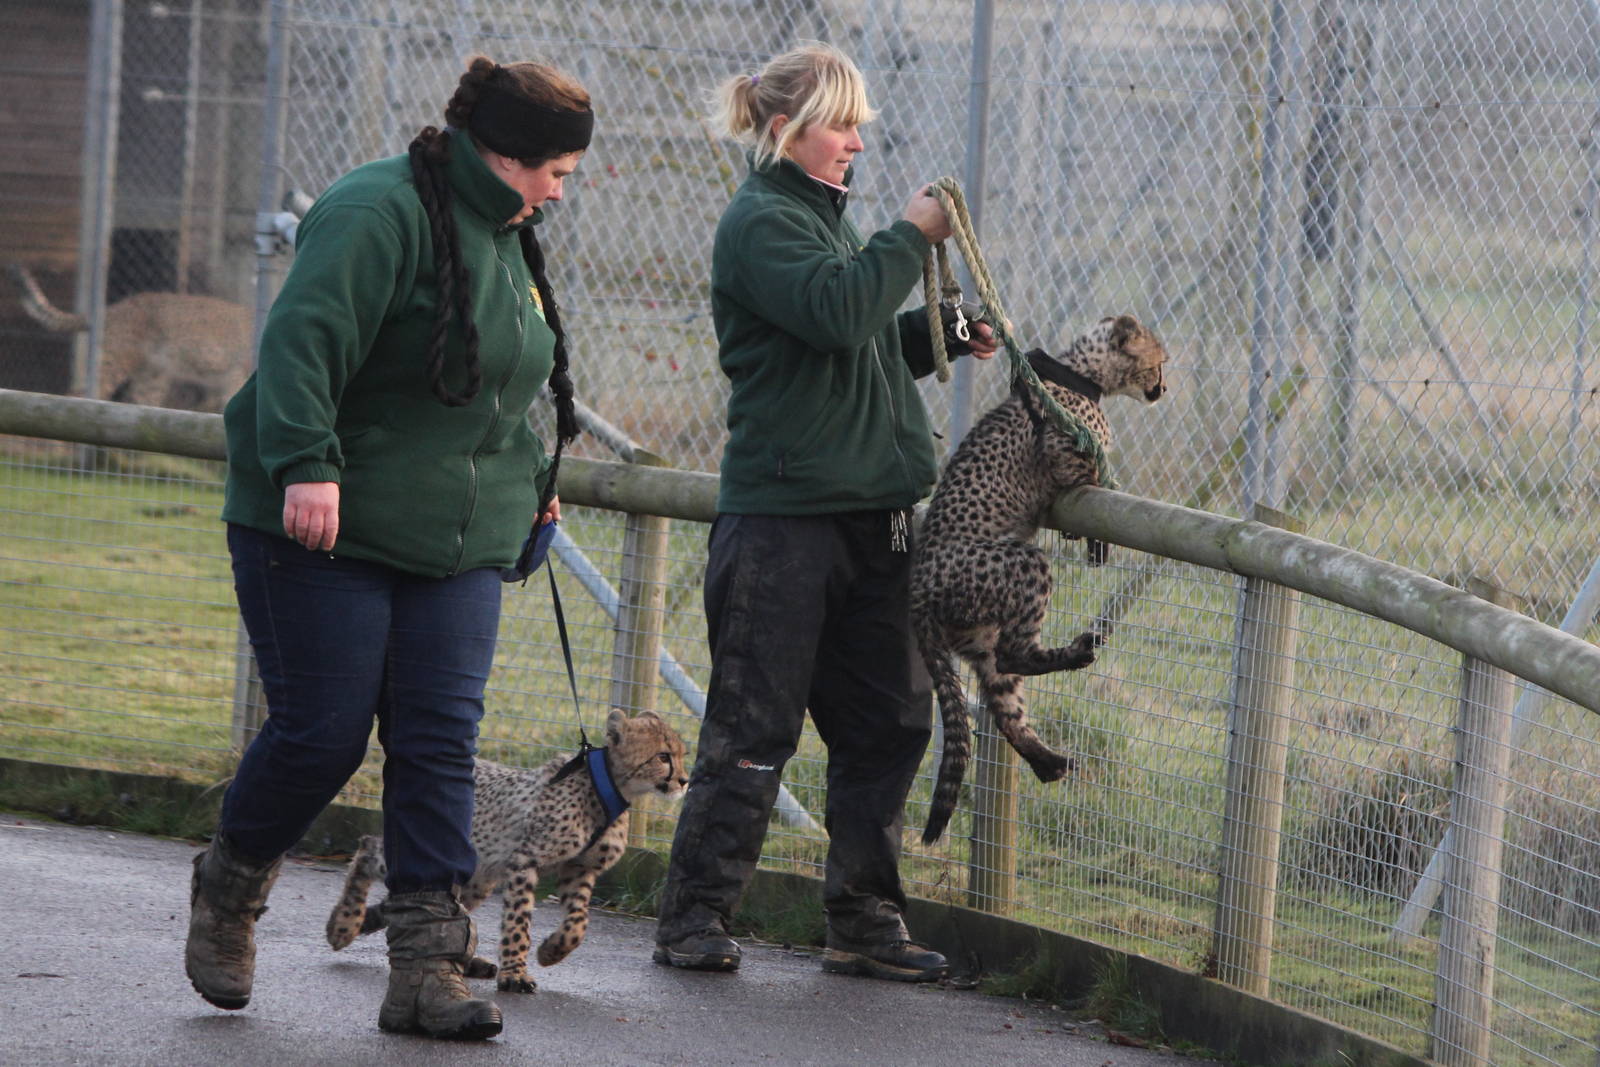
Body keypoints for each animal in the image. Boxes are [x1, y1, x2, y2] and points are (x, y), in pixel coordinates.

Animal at [325, 708, 689, 993]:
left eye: (682, 755)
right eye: (663, 756)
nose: (684, 781)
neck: (606, 787)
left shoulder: (579, 869)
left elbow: (578, 924)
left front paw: (551, 951)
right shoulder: (525, 859)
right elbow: (519, 920)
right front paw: (515, 973)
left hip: (476, 878)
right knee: (369, 848)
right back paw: (344, 924)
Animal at [911, 314, 1168, 844]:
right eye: (1158, 362)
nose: (1164, 387)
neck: (1079, 374)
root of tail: (919, 590)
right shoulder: (1059, 447)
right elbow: (1088, 472)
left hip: (978, 633)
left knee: (1002, 699)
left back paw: (1048, 761)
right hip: (1022, 566)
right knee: (1015, 654)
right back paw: (1076, 654)